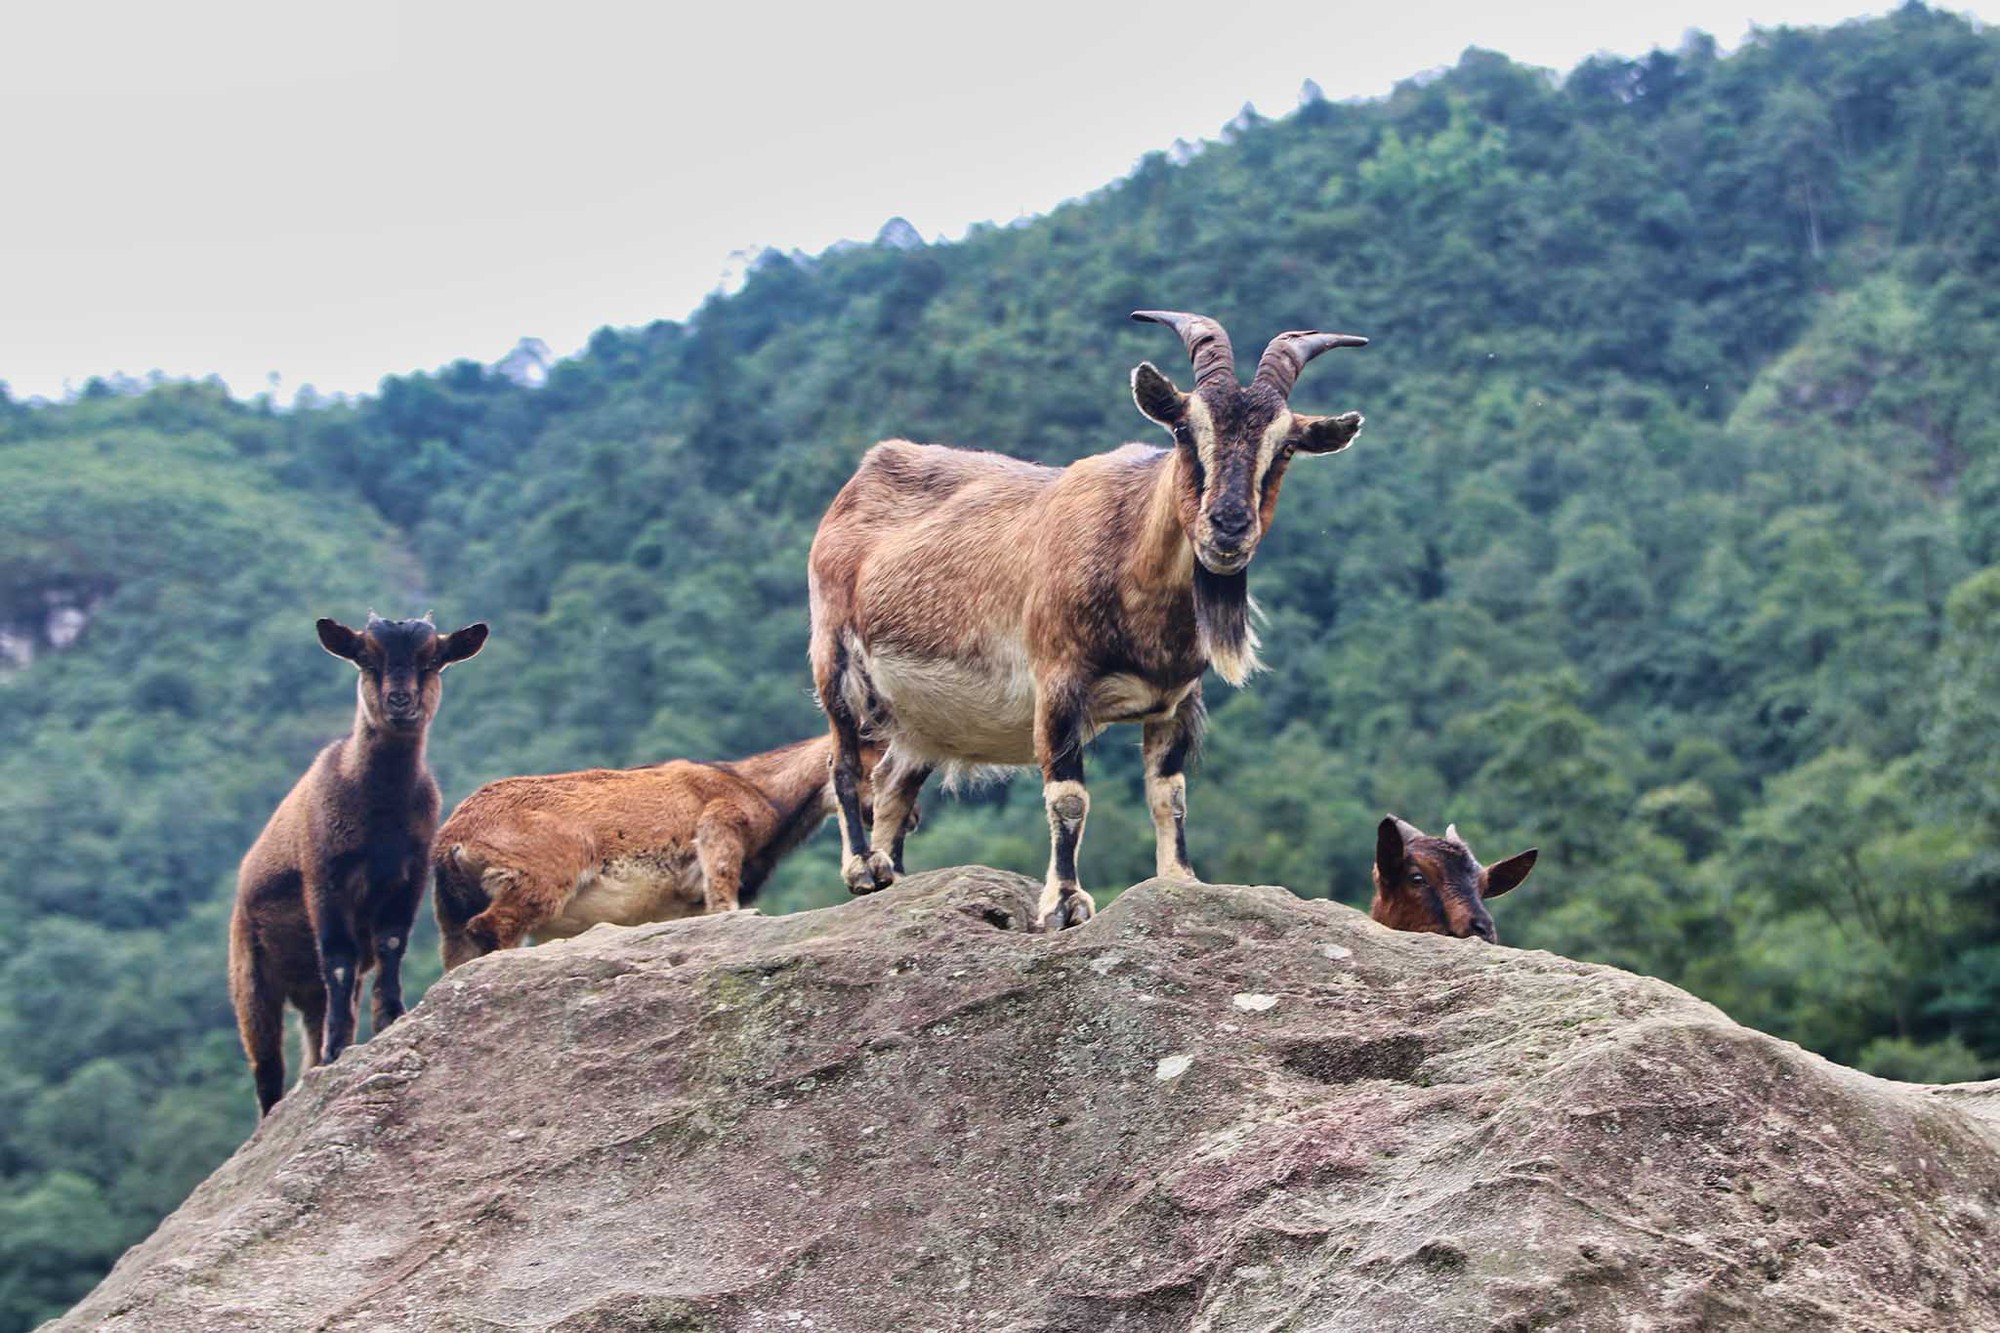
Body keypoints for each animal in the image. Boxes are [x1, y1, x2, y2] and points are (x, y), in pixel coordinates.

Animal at [228, 612, 488, 1112]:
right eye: (366, 659)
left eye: (433, 662)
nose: (400, 701)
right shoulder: (324, 877)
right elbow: (339, 959)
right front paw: (337, 1051)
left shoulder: (409, 877)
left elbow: (391, 944)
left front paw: (390, 1017)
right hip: (249, 974)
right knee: (266, 1065)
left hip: (305, 991)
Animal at [436, 728, 892, 964]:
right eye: (875, 763)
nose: (885, 813)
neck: (764, 790)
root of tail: (453, 836)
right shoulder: (721, 828)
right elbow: (724, 901)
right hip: (543, 875)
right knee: (494, 926)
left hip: (451, 912)